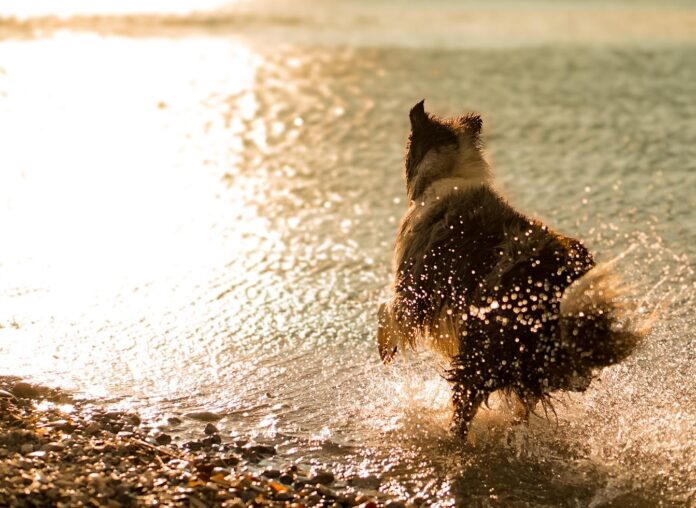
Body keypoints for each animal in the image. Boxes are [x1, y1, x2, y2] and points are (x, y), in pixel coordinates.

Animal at [378, 100, 644, 436]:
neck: (448, 172)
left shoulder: (415, 284)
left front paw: (385, 348)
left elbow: (389, 311)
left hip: (484, 350)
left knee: (465, 404)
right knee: (519, 406)